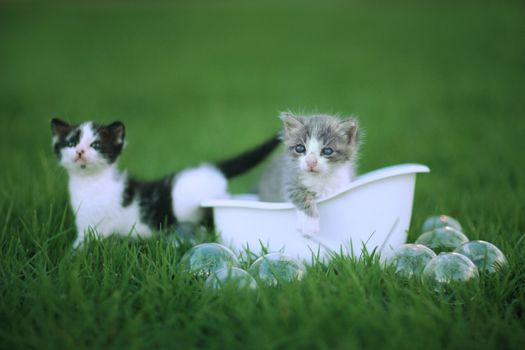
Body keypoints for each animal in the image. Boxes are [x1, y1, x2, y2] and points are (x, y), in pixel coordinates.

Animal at [51, 119, 280, 247]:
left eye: (96, 145)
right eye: (71, 143)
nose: (80, 152)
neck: (89, 184)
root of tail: (210, 169)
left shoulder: (94, 228)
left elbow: (81, 246)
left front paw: (69, 260)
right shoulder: (85, 223)